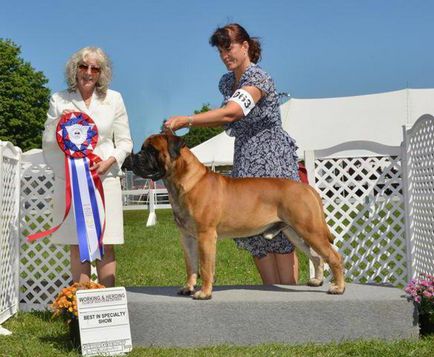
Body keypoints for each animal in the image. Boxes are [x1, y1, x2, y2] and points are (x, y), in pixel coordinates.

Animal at [124, 133, 344, 298]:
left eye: (152, 150)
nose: (132, 157)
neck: (182, 181)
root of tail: (307, 188)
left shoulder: (205, 236)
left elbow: (205, 266)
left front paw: (204, 293)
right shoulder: (187, 238)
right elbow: (191, 265)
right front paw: (188, 287)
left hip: (310, 230)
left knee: (334, 256)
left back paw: (338, 287)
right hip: (295, 234)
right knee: (317, 256)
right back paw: (317, 280)